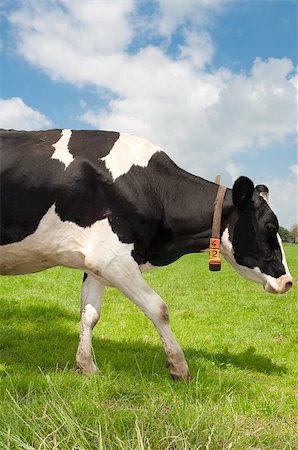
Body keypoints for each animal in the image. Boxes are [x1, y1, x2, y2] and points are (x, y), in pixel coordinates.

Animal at [0, 129, 294, 380]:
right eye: (270, 226)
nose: (288, 281)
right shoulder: (113, 258)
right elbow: (159, 308)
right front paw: (179, 367)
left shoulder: (96, 262)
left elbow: (89, 314)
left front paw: (87, 367)